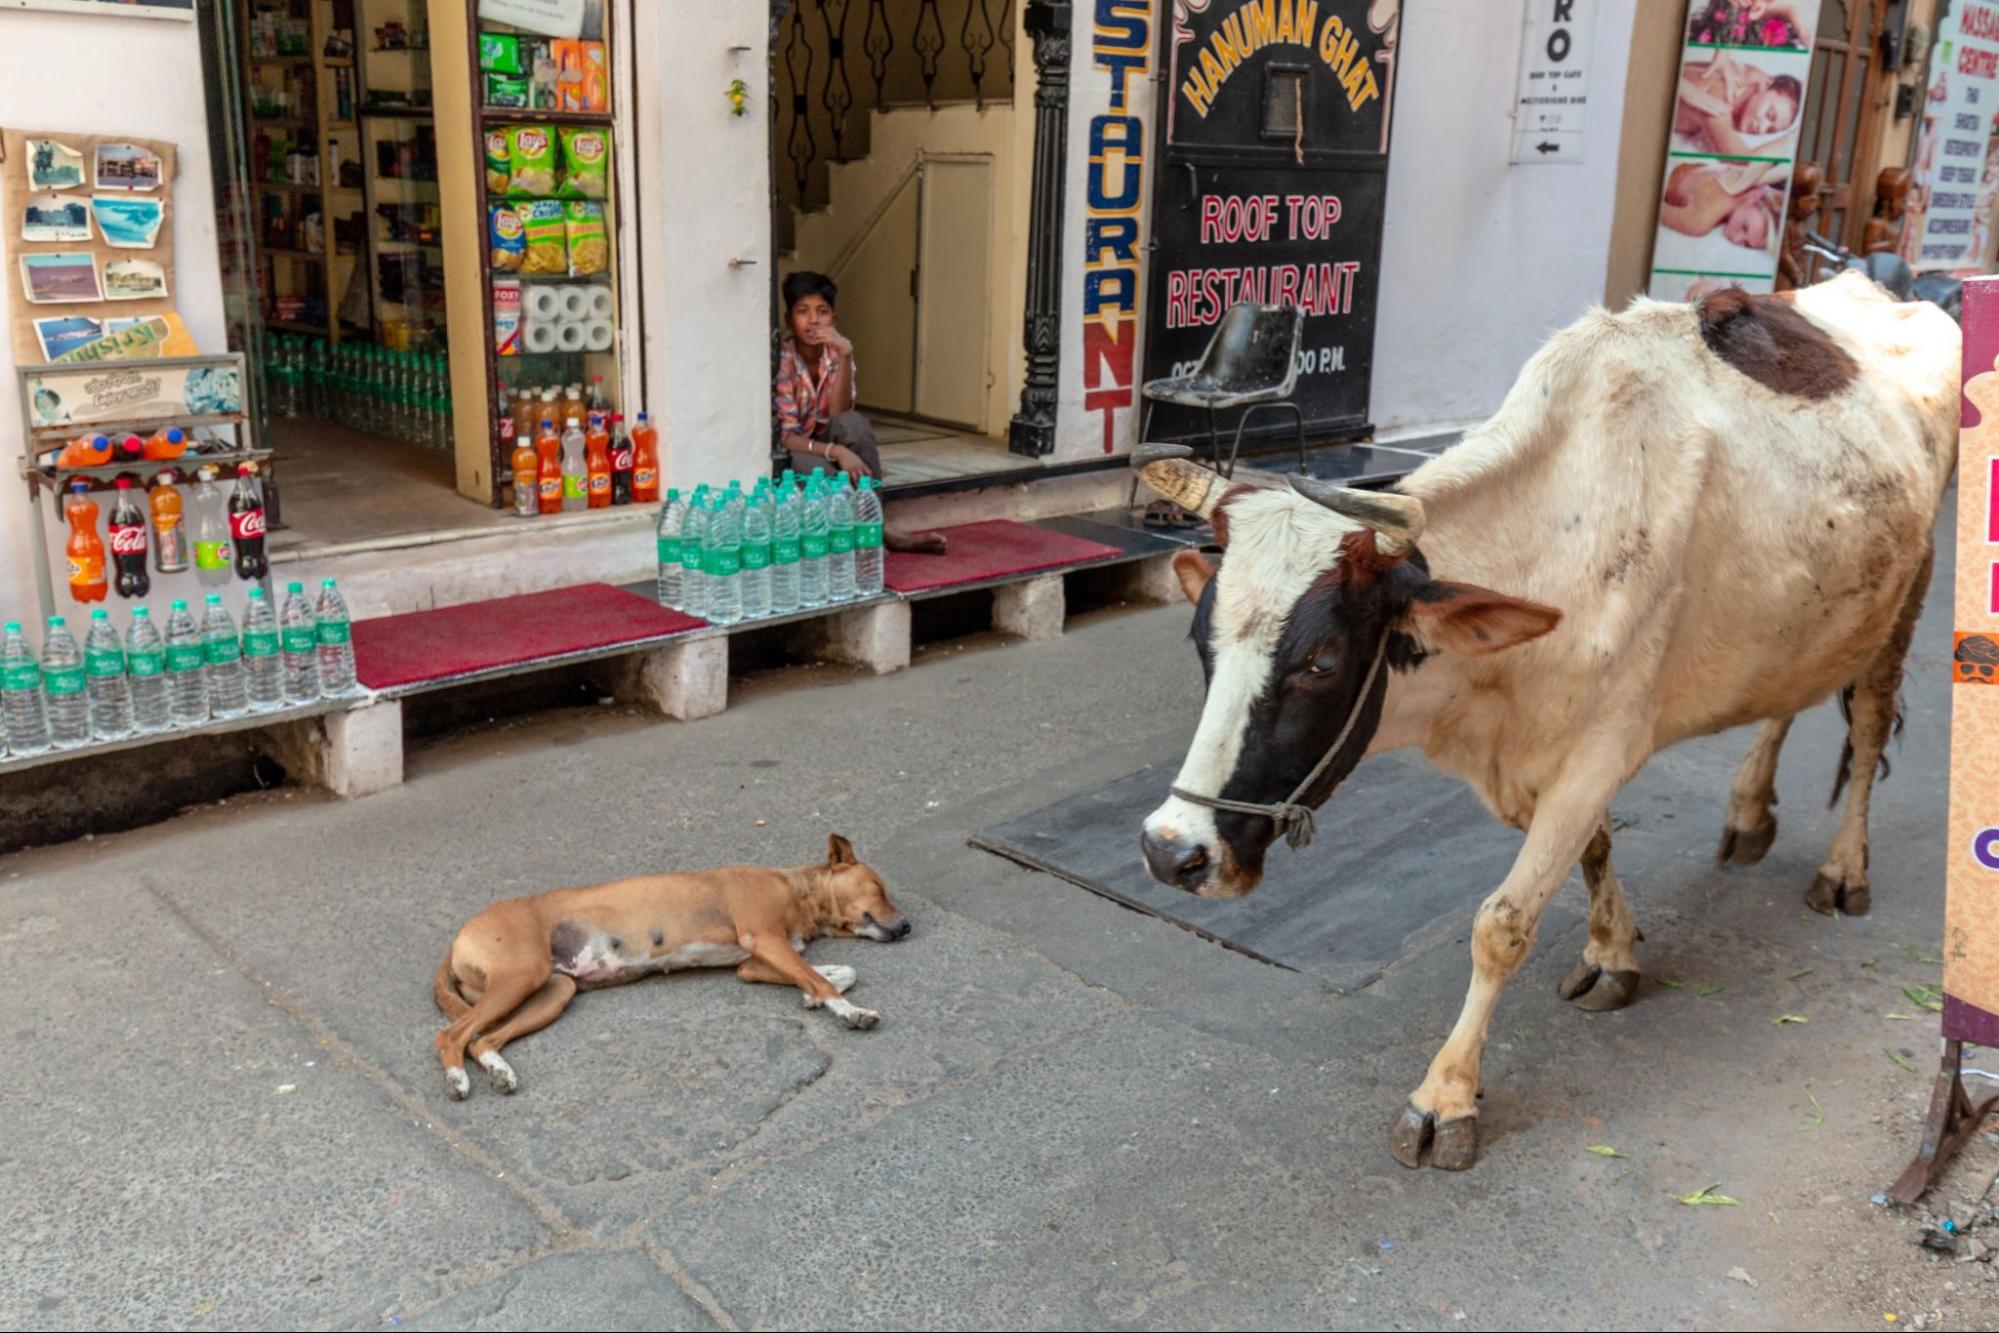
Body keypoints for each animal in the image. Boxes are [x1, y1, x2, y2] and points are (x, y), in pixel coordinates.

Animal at [437, 835, 915, 1103]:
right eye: (880, 887)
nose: (909, 925)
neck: (797, 891)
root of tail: (457, 938)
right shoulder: (764, 939)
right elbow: (821, 977)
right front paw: (850, 1011)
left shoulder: (753, 964)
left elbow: (836, 972)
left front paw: (812, 997)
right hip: (522, 977)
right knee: (451, 1036)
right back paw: (458, 1080)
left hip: (552, 993)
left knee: (482, 1040)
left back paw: (499, 1072)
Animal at [1135, 275, 1959, 1175]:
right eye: (1199, 637)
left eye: (1320, 660)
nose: (1171, 851)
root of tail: (1876, 287)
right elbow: (1593, 852)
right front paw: (1612, 951)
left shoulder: (1600, 750)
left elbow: (1501, 923)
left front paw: (1445, 1095)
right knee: (1784, 696)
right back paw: (1747, 813)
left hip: (1906, 594)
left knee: (1870, 727)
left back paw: (1843, 870)